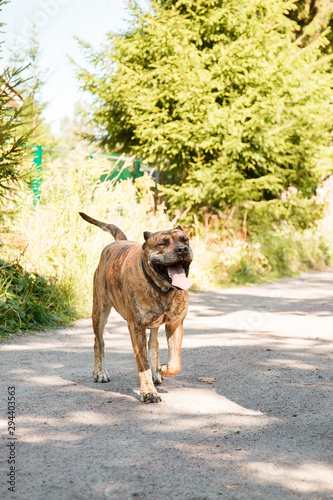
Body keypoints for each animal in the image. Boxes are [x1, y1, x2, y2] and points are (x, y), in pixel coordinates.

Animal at [78, 212, 192, 402]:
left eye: (185, 240)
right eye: (162, 244)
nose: (182, 249)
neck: (161, 288)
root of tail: (118, 241)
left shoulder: (175, 324)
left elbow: (175, 363)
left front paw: (161, 368)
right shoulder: (136, 326)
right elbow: (142, 363)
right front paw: (148, 391)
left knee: (153, 342)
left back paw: (156, 371)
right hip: (100, 310)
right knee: (98, 341)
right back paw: (100, 372)